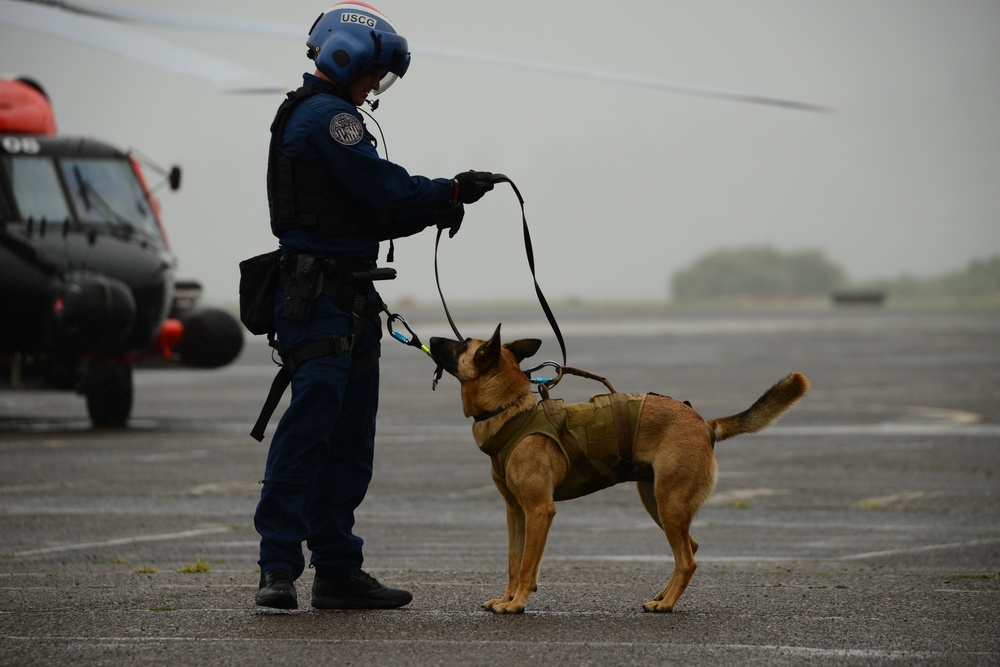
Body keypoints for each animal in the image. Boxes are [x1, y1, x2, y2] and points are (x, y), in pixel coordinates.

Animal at [432, 324, 812, 616]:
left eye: (462, 344)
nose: (432, 337)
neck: (511, 411)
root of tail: (704, 423)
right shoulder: (516, 512)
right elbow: (513, 560)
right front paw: (506, 598)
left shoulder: (539, 510)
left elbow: (526, 565)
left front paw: (517, 603)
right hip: (657, 502)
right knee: (690, 547)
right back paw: (662, 596)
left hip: (669, 503)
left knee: (687, 559)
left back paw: (666, 604)